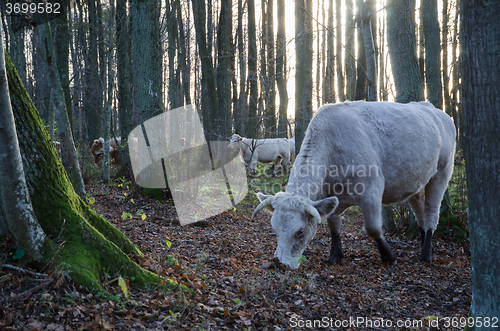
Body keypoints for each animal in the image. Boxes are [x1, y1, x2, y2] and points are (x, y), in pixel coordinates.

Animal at [252, 102, 456, 270]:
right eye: (274, 228)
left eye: (300, 231)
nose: (281, 263)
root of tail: (434, 109)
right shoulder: (333, 197)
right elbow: (334, 225)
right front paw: (335, 255)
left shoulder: (372, 191)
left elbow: (373, 228)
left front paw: (388, 256)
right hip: (417, 181)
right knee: (420, 212)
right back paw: (425, 243)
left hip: (442, 171)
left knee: (431, 211)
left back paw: (426, 253)